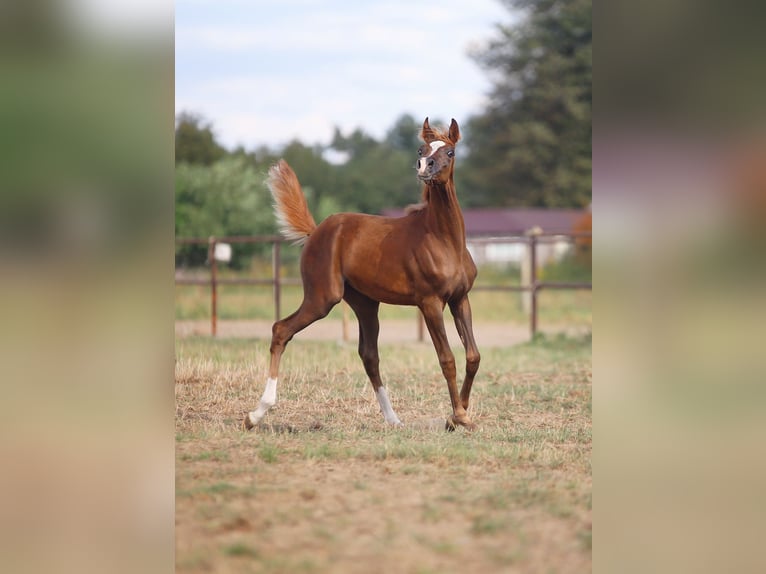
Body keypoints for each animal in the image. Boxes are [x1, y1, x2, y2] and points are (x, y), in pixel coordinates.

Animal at [244, 117, 480, 431]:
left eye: (450, 152)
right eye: (422, 149)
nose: (423, 167)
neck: (444, 240)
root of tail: (316, 231)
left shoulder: (459, 299)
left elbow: (472, 356)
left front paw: (458, 415)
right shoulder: (429, 303)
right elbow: (447, 359)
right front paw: (459, 416)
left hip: (365, 304)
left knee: (369, 356)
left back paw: (393, 419)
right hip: (322, 298)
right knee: (281, 330)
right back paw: (255, 414)